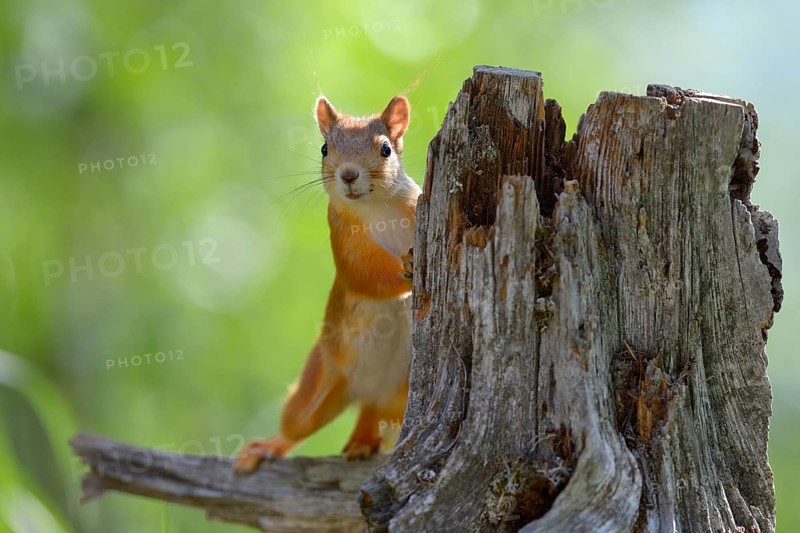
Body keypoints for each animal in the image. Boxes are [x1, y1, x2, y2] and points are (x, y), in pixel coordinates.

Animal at [234, 95, 421, 474]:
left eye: (386, 149)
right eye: (324, 148)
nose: (348, 174)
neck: (377, 207)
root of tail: (371, 393)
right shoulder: (345, 242)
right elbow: (365, 275)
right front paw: (404, 266)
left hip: (399, 394)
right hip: (321, 378)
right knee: (298, 425)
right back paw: (268, 446)